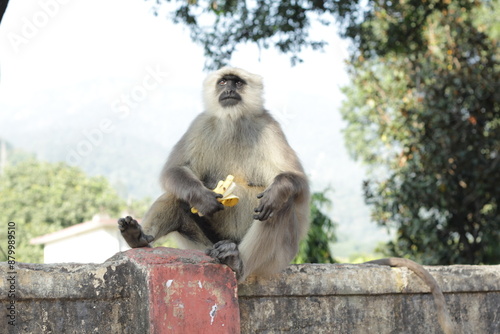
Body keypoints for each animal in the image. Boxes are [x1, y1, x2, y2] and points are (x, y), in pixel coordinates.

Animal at [118, 66, 310, 284]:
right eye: (223, 82)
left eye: (237, 83)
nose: (229, 90)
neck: (233, 120)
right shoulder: (200, 123)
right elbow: (174, 170)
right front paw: (203, 198)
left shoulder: (270, 126)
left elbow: (298, 181)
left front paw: (277, 190)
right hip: (204, 247)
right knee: (176, 194)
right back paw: (137, 237)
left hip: (275, 260)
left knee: (279, 205)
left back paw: (236, 262)